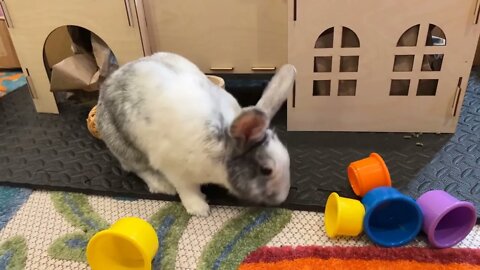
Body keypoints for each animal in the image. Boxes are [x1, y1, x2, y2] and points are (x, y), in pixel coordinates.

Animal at [95, 52, 294, 215]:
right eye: (266, 170)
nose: (282, 198)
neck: (222, 144)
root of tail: (108, 83)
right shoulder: (176, 170)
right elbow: (187, 190)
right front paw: (200, 209)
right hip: (124, 145)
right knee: (138, 168)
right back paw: (163, 185)